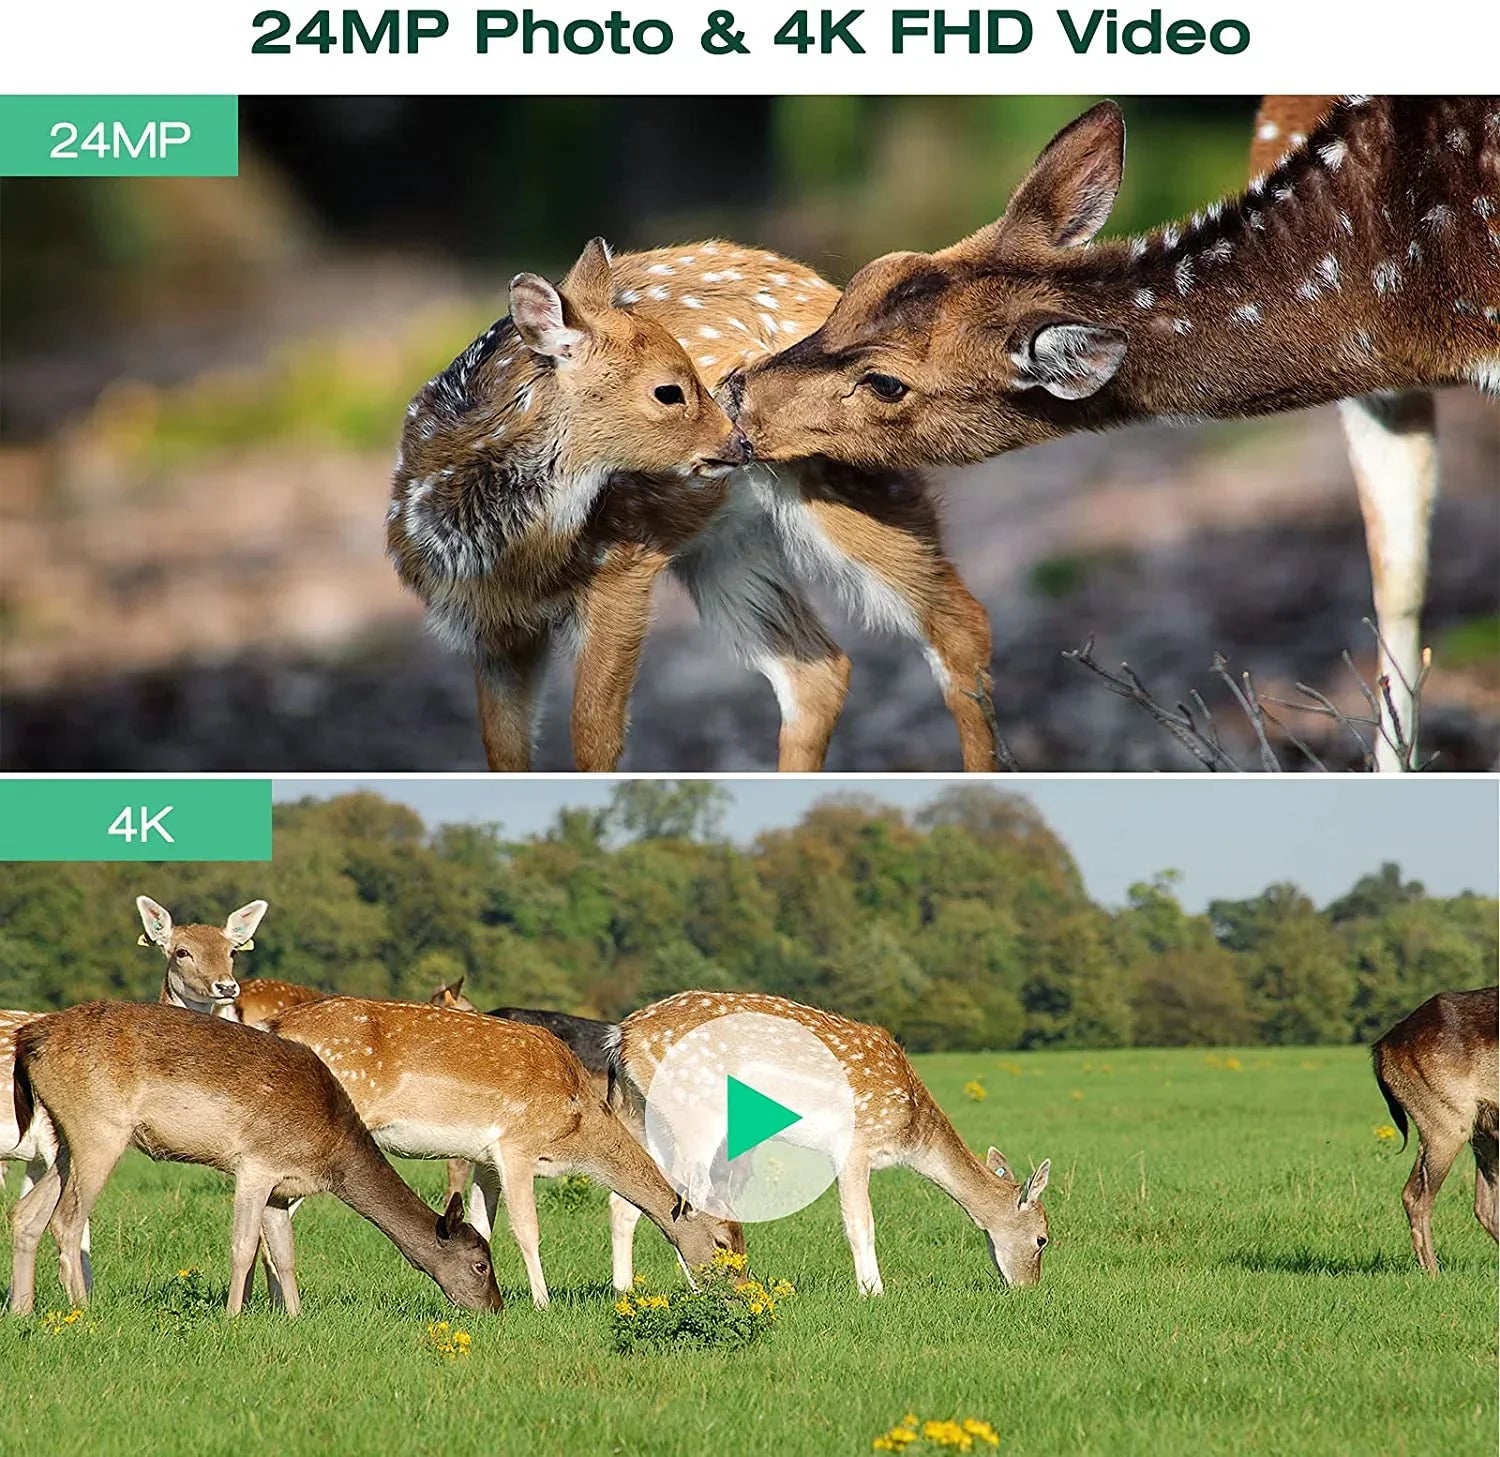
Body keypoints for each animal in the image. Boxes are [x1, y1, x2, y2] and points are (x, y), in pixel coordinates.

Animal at [6, 1001, 504, 1318]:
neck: (330, 1151)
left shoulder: (282, 1190)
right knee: (67, 1221)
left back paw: (21, 1310)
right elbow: (243, 1247)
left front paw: (294, 1317)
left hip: (63, 1137)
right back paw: (83, 1310)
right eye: (481, 1263)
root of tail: (31, 1037)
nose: (495, 1308)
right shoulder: (256, 1164)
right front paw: (232, 1317)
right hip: (99, 1129)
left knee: (26, 1213)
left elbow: (285, 1254)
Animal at [266, 995, 740, 1307]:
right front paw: (543, 1304)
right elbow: (527, 1229)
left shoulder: (484, 1159)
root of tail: (276, 1024)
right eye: (722, 1243)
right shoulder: (516, 1145)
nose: (739, 1291)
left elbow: (481, 1225)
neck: (576, 1126)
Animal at [392, 236, 1002, 773]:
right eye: (669, 391)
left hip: (851, 484)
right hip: (725, 548)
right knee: (817, 670)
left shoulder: (622, 565)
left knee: (961, 626)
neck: (511, 555)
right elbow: (503, 753)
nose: (739, 438)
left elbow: (593, 738)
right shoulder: (490, 631)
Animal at [608, 990, 1051, 1296]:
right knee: (688, 1201)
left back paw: (623, 1289)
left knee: (629, 1200)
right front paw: (873, 1292)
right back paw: (701, 1286)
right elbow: (861, 1224)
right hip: (695, 1111)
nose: (1028, 1289)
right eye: (1044, 1238)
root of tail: (621, 1037)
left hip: (643, 1114)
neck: (909, 1132)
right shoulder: (855, 1145)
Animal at [1372, 985, 1498, 1273]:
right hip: (1446, 1123)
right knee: (1415, 1196)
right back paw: (1433, 1272)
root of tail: (1382, 1048)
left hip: (1483, 1130)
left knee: (1485, 1206)